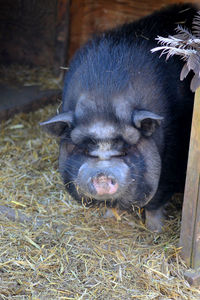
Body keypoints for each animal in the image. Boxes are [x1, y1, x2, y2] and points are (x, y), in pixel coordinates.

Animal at [39, 4, 196, 232]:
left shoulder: (171, 161)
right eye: (87, 151)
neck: (104, 100)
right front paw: (108, 217)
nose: (103, 177)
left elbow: (156, 202)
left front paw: (155, 230)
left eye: (124, 152)